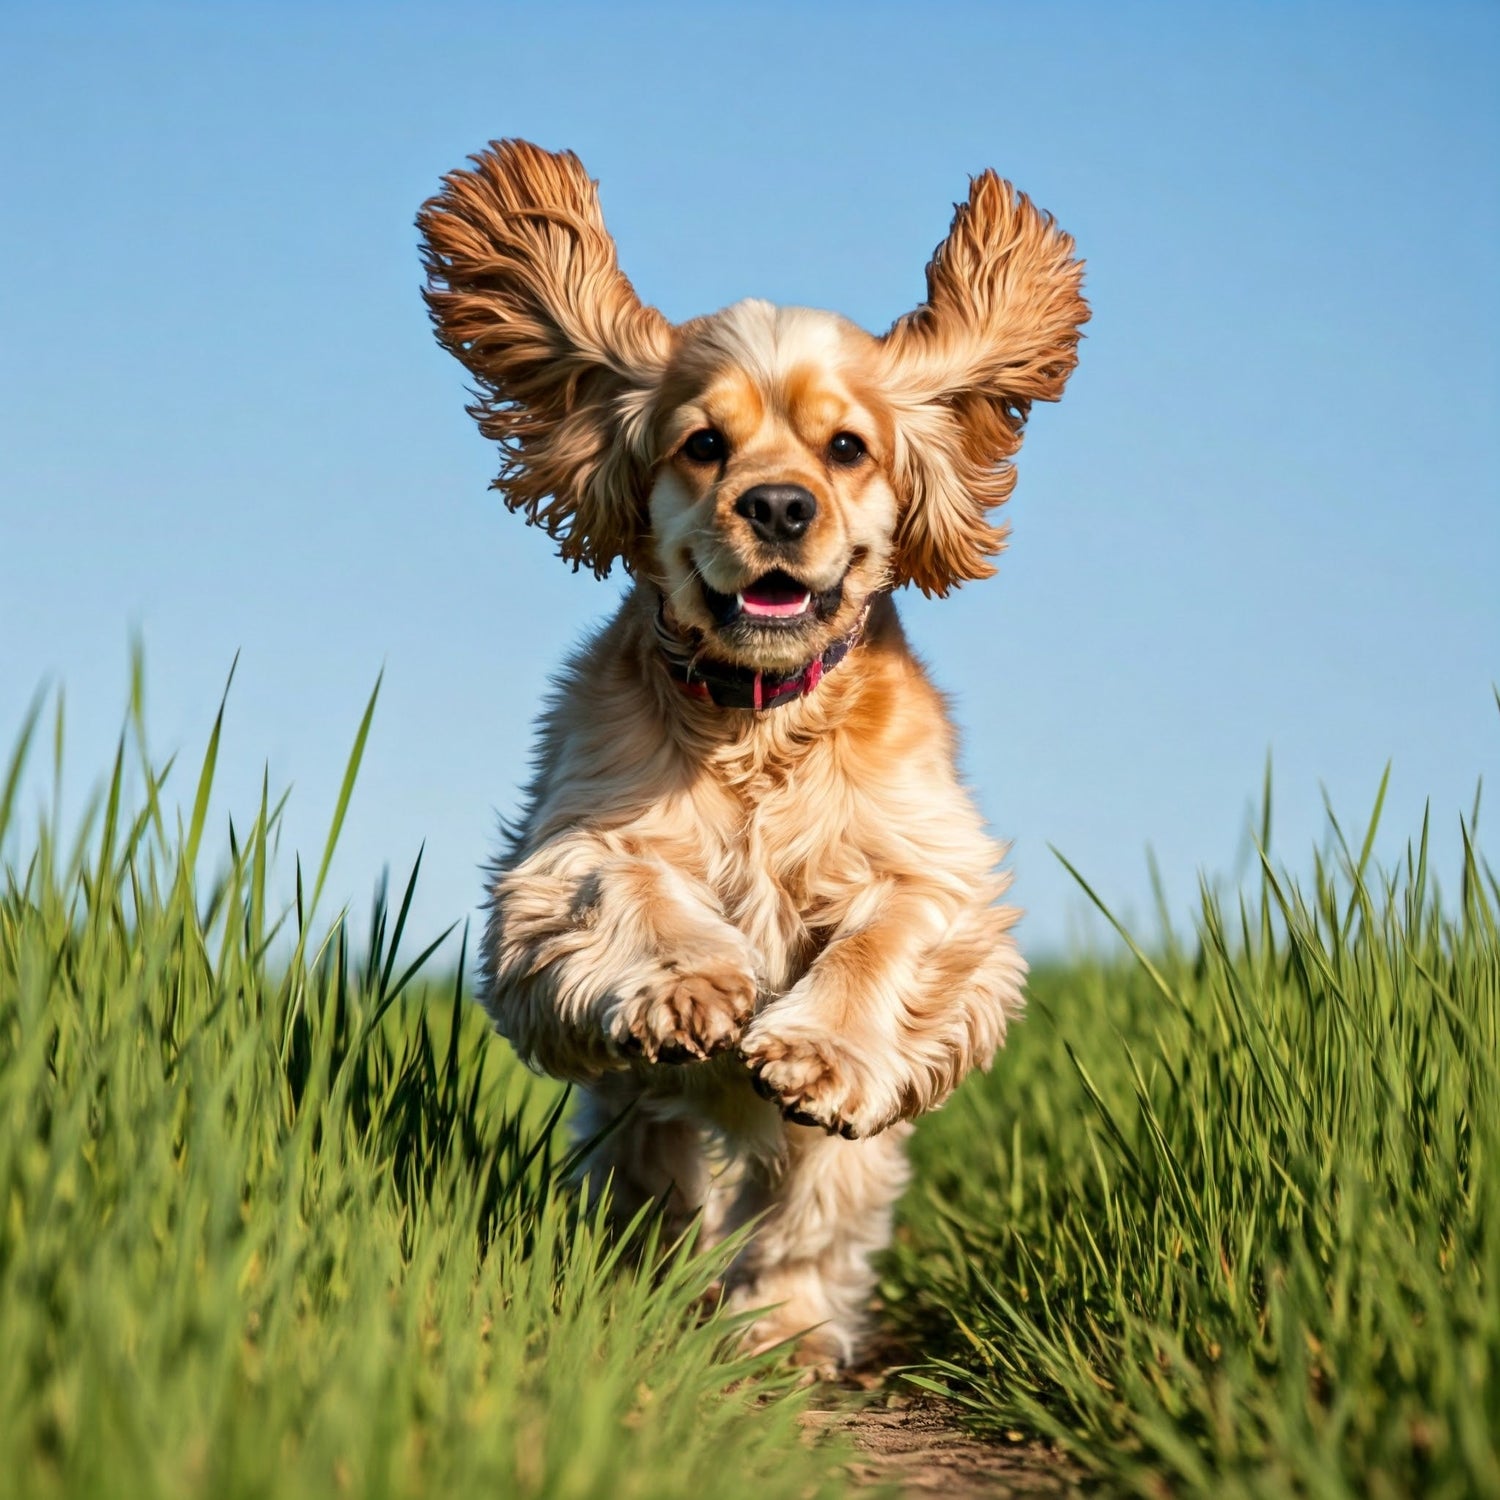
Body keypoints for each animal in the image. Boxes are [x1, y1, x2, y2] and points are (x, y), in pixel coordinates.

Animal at [417, 143, 1086, 1374]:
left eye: (846, 447)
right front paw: (691, 987)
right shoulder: (557, 868)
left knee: (803, 1222)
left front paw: (817, 1049)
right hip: (632, 1125)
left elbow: (887, 932)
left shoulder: (945, 882)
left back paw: (786, 1332)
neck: (757, 723)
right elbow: (626, 881)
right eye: (703, 445)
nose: (776, 505)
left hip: (840, 1166)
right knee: (657, 1187)